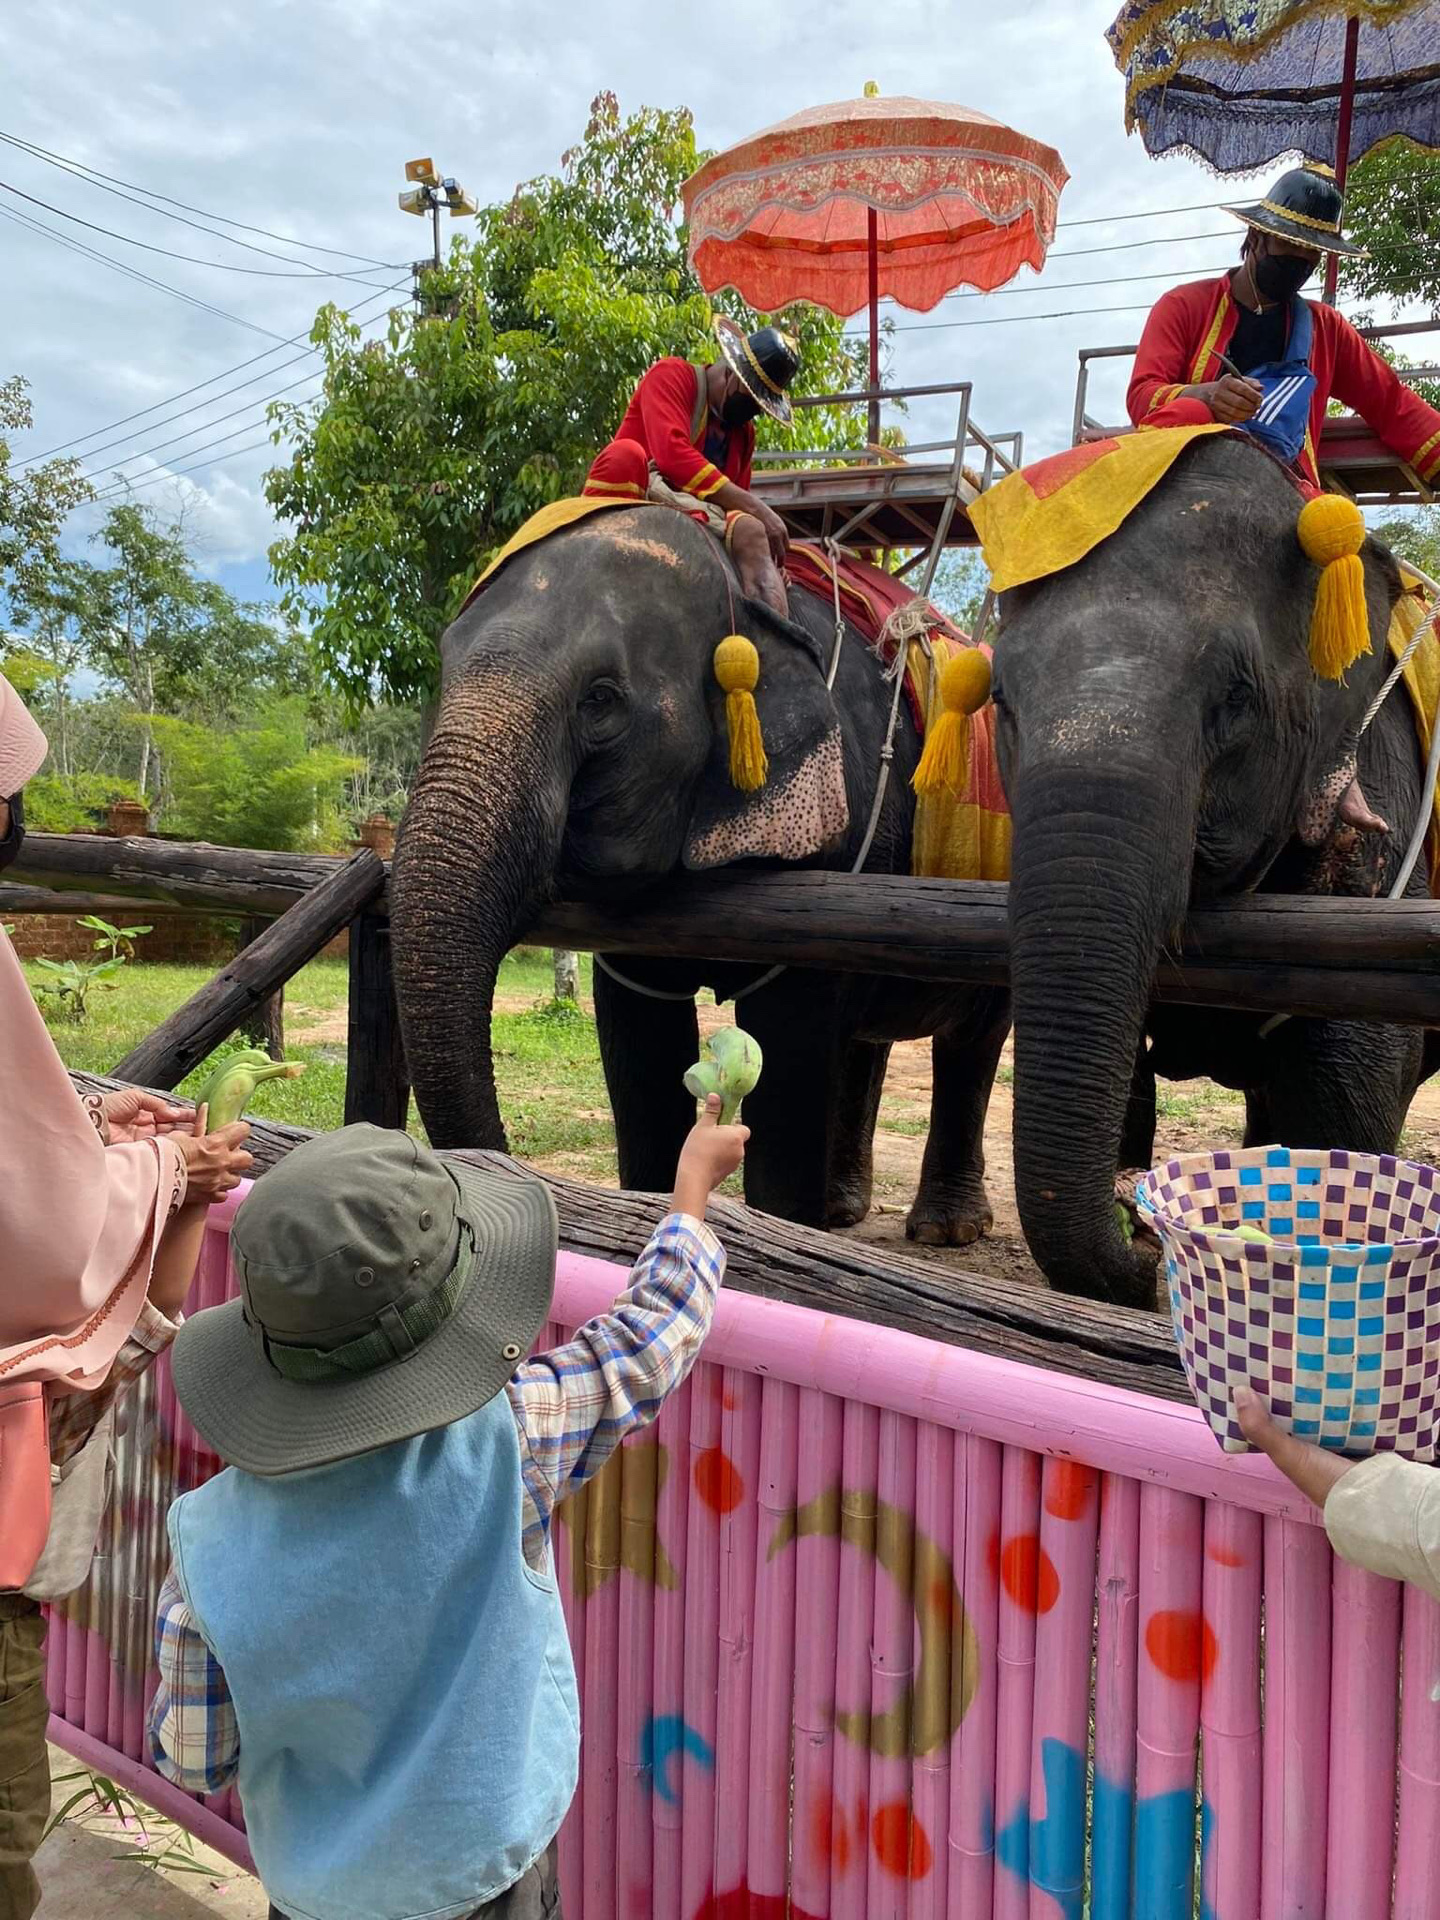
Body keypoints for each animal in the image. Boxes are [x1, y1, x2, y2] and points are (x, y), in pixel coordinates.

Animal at [389, 503, 1006, 1236]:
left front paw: (786, 1229)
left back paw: (945, 1229)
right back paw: (842, 1210)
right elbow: (641, 1045)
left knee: (975, 1039)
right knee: (868, 1040)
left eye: (600, 699)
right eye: (443, 670)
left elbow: (791, 1054)